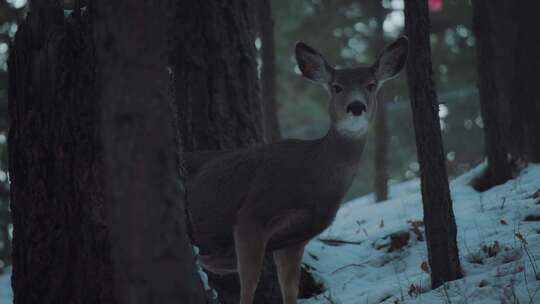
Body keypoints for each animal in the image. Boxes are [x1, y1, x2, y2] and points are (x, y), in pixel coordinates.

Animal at [186, 36, 410, 302]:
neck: (312, 176)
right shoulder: (252, 213)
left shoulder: (295, 238)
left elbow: (290, 288)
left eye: (371, 85)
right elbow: (249, 283)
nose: (356, 107)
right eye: (336, 87)